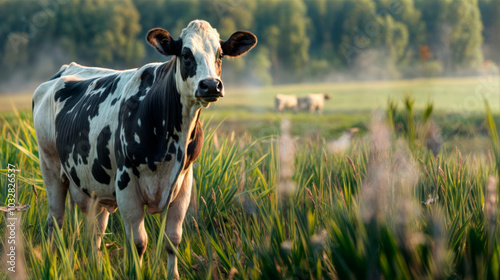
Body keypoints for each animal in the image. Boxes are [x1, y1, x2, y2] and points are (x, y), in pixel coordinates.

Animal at [32, 19, 258, 278]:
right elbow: (138, 242)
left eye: (220, 54)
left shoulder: (184, 182)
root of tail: (65, 69)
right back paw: (50, 261)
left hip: (95, 187)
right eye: (185, 54)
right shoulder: (126, 182)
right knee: (55, 220)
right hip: (50, 166)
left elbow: (173, 239)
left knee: (95, 231)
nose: (210, 85)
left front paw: (173, 275)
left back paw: (97, 267)